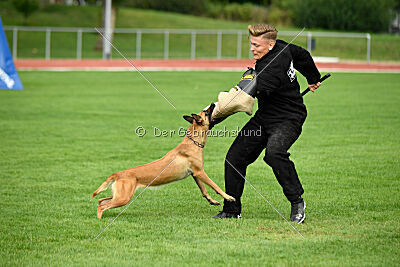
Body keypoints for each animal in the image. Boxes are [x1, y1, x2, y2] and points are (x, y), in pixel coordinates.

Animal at [91, 104, 234, 220]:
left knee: (101, 201)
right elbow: (215, 186)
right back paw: (99, 220)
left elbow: (204, 190)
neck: (194, 142)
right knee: (101, 206)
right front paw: (228, 197)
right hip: (123, 198)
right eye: (206, 111)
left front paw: (212, 201)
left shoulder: (195, 174)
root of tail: (117, 174)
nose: (213, 103)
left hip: (120, 196)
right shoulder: (200, 172)